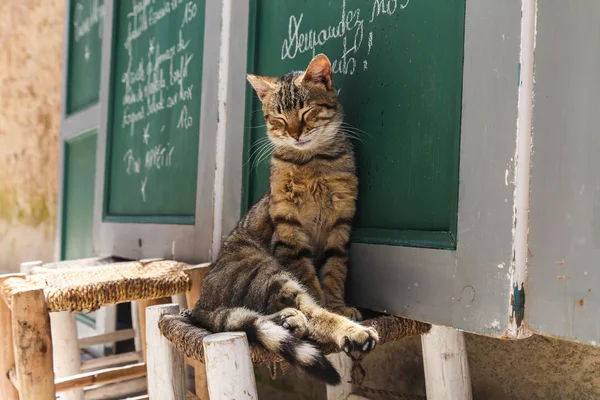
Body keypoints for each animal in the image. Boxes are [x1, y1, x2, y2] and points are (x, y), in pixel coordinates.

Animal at [186, 53, 380, 384]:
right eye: (278, 118)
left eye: (307, 112)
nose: (295, 134)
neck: (312, 163)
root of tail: (201, 305)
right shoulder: (290, 236)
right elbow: (313, 290)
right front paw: (336, 313)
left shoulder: (339, 229)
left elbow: (335, 273)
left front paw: (339, 305)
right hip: (264, 269)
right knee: (305, 309)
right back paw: (351, 332)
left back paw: (291, 321)